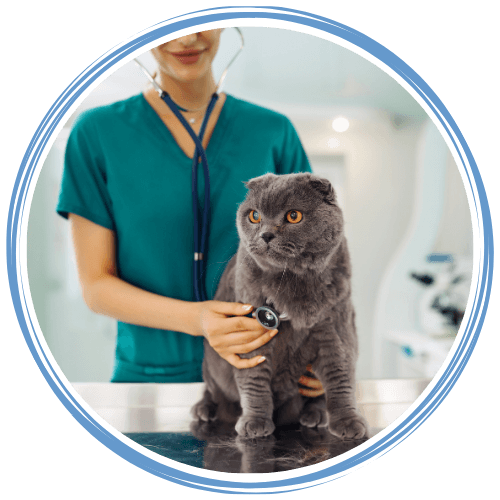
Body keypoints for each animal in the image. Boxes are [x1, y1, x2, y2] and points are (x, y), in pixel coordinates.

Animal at [193, 174, 370, 440]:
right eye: (254, 216)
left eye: (293, 216)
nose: (265, 234)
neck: (292, 281)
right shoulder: (250, 336)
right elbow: (254, 381)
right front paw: (255, 422)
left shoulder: (335, 329)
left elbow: (340, 377)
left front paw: (348, 421)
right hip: (210, 364)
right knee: (212, 389)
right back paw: (204, 408)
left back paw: (315, 414)